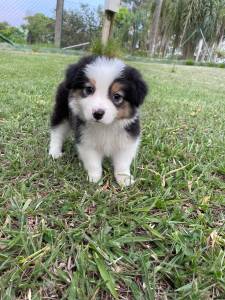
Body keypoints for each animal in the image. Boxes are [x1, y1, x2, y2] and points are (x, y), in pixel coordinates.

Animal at [48, 54, 148, 185]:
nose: (98, 113)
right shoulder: (86, 139)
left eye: (117, 96)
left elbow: (123, 162)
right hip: (62, 110)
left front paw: (124, 178)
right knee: (57, 131)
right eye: (89, 89)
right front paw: (95, 178)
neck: (106, 126)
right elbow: (93, 161)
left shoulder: (128, 139)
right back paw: (54, 152)